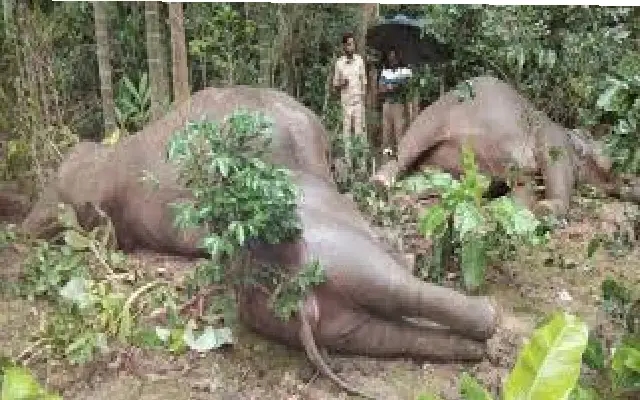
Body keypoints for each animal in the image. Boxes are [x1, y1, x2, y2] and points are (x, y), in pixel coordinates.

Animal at [371, 75, 640, 217]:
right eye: (614, 162)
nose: (631, 181)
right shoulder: (554, 139)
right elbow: (556, 169)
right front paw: (546, 208)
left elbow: (525, 188)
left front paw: (514, 207)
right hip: (435, 114)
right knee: (409, 146)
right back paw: (380, 183)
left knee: (432, 180)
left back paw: (405, 198)